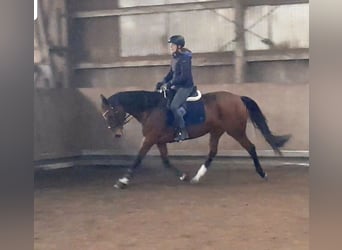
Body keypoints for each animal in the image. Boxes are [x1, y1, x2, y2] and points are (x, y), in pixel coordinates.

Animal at [100, 89, 290, 188]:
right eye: (105, 115)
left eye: (112, 113)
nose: (117, 134)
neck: (150, 108)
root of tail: (238, 97)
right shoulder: (159, 140)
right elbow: (165, 161)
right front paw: (183, 176)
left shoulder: (150, 138)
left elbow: (138, 159)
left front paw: (122, 181)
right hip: (217, 131)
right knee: (212, 152)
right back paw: (197, 177)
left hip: (235, 130)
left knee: (250, 147)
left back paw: (263, 173)